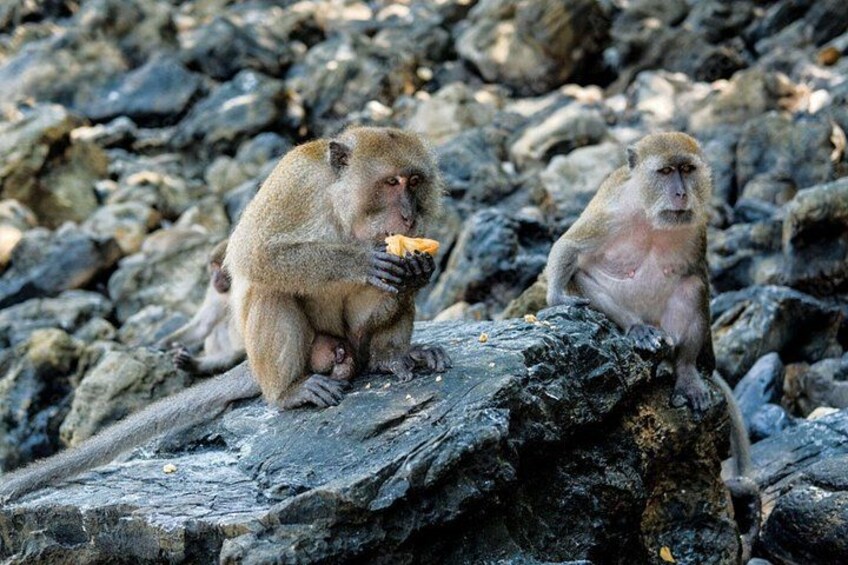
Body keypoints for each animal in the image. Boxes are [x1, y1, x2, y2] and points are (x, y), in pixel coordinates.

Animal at [225, 126, 451, 410]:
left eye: (414, 181)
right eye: (391, 182)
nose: (409, 217)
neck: (339, 205)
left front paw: (418, 270)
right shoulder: (295, 183)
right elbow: (253, 252)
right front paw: (361, 261)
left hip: (356, 343)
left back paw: (388, 357)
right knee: (269, 289)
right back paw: (288, 391)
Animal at [545, 132, 759, 561]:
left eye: (687, 170)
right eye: (665, 172)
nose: (680, 193)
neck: (649, 214)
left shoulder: (697, 224)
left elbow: (698, 276)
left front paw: (702, 362)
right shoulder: (609, 214)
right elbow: (570, 248)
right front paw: (558, 297)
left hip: (671, 326)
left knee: (690, 288)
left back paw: (686, 369)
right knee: (588, 277)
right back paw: (638, 331)